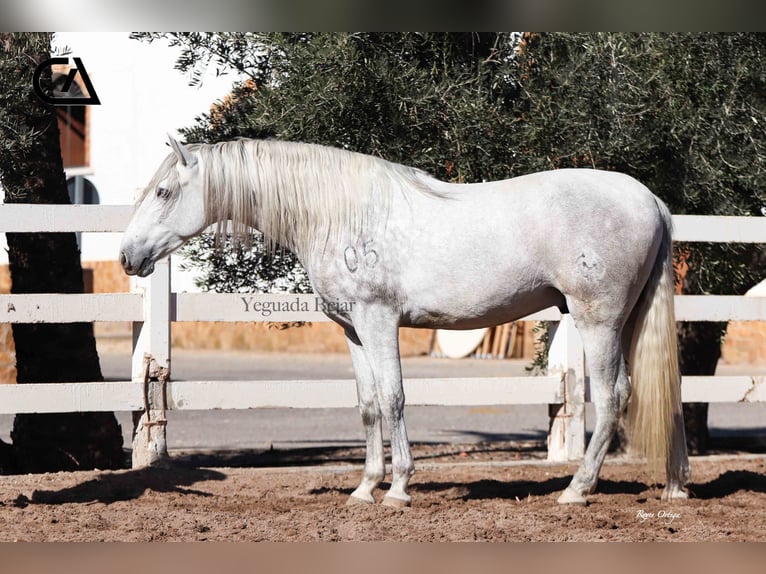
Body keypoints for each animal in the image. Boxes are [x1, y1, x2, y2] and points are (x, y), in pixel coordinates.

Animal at [120, 138, 688, 508]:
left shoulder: (378, 321)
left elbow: (393, 398)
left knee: (613, 396)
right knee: (657, 392)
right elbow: (369, 405)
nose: (127, 257)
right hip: (626, 321)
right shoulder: (352, 330)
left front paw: (397, 489)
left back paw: (576, 490)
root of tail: (649, 200)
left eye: (164, 192)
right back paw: (674, 487)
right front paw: (364, 488)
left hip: (598, 322)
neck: (340, 214)